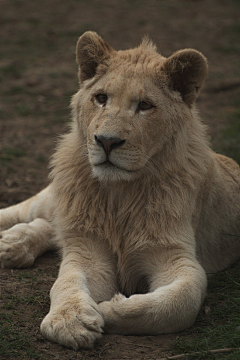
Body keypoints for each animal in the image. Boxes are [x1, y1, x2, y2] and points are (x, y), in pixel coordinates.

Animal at [0, 31, 240, 348]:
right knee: (29, 213)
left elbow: (179, 302)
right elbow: (67, 283)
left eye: (145, 105)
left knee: (52, 228)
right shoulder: (88, 249)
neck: (120, 193)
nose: (106, 141)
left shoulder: (175, 255)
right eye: (101, 98)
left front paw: (108, 308)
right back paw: (13, 241)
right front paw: (70, 321)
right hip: (54, 199)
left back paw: (15, 244)